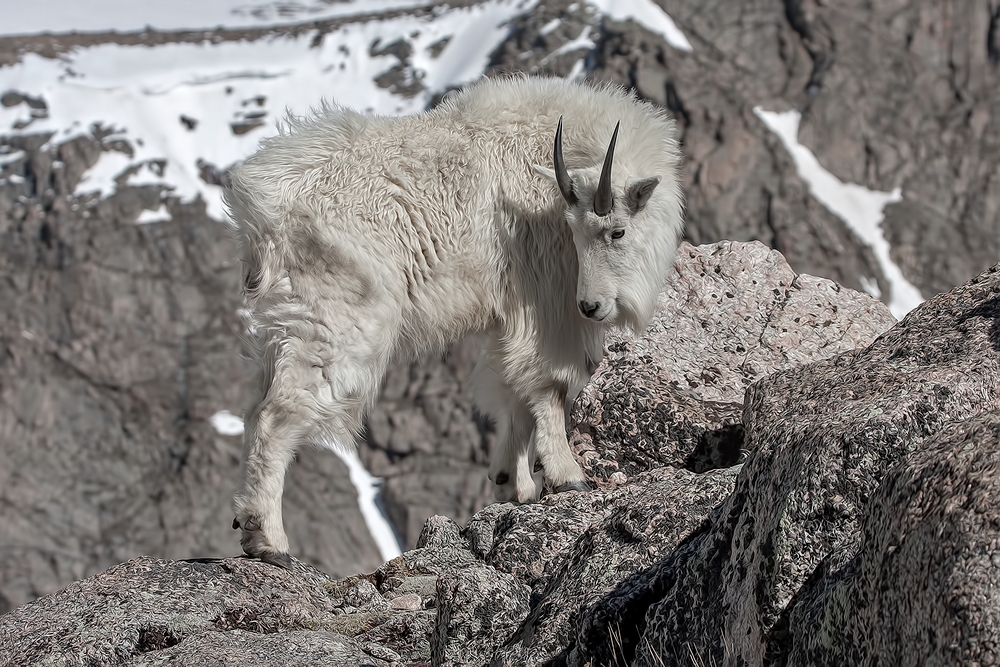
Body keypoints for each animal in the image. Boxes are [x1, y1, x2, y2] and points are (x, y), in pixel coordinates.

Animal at [226, 75, 684, 568]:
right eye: (580, 231)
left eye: (616, 231)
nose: (591, 306)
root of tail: (263, 207)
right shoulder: (547, 306)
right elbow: (549, 388)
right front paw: (567, 476)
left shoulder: (516, 313)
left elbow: (513, 393)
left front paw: (512, 482)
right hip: (336, 320)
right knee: (279, 414)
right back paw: (268, 539)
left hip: (287, 320)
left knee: (255, 407)